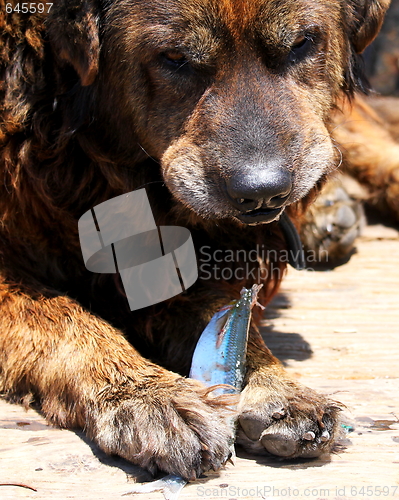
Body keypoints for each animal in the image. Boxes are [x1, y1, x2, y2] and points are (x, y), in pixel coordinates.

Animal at [0, 0, 394, 480]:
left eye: (301, 42)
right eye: (174, 58)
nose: (263, 191)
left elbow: (225, 317)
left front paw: (277, 387)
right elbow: (66, 319)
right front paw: (150, 396)